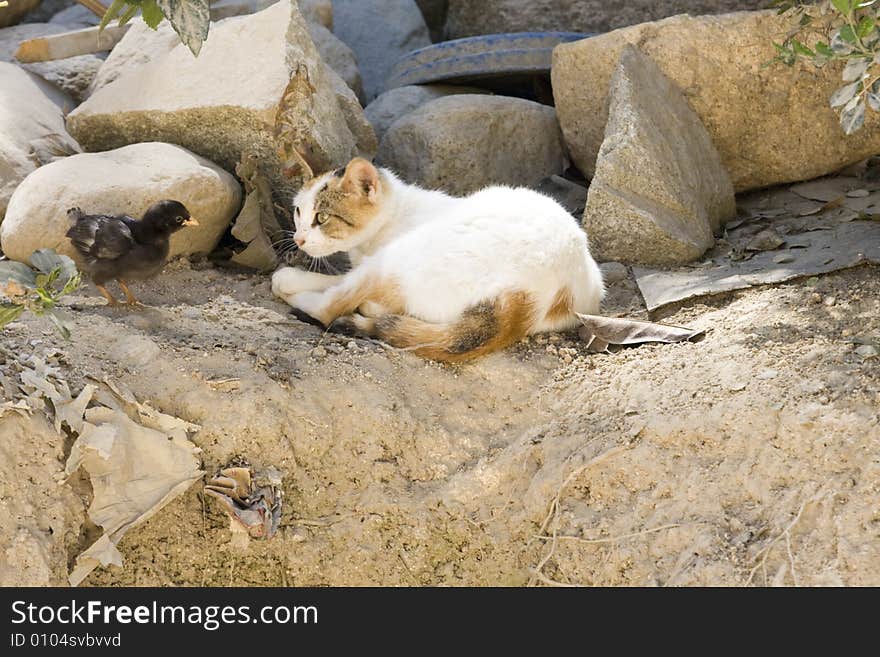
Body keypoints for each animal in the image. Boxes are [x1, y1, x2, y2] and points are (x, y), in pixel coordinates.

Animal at [274, 159, 604, 364]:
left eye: (321, 218)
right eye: (298, 212)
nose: (299, 239)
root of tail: (529, 296)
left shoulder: (375, 259)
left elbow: (334, 282)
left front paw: (291, 277)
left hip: (403, 255)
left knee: (330, 307)